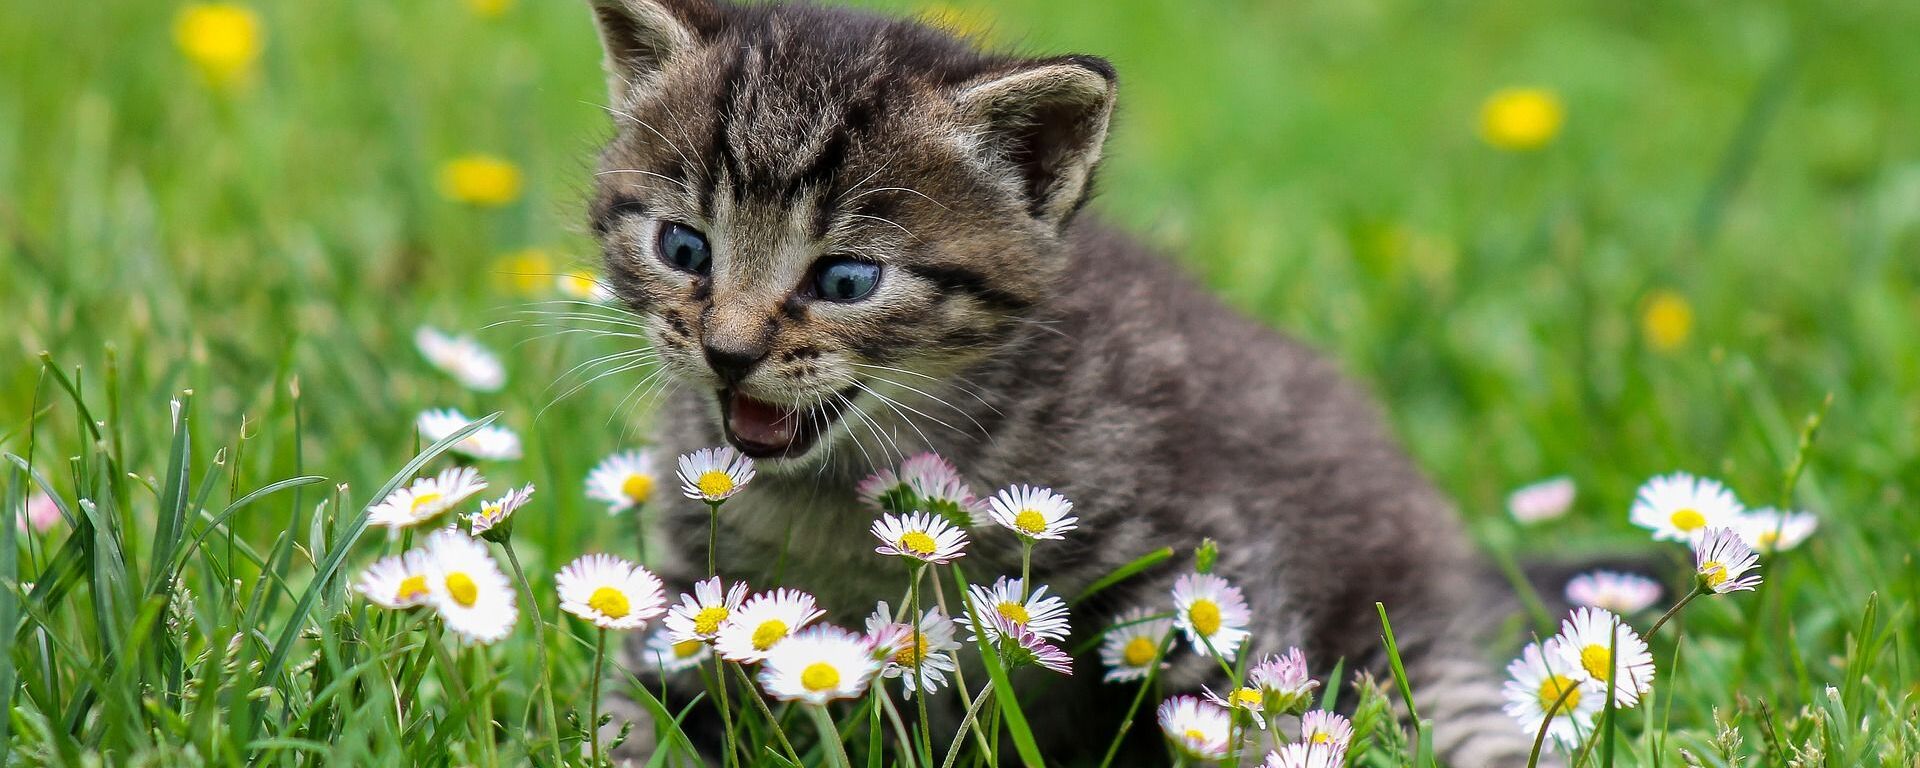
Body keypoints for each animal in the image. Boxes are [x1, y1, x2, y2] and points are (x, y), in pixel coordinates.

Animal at [579, 0, 1528, 760]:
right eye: (684, 247)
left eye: (847, 280)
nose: (727, 352)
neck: (838, 492)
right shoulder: (691, 599)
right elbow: (635, 714)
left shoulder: (1205, 565)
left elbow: (1246, 708)